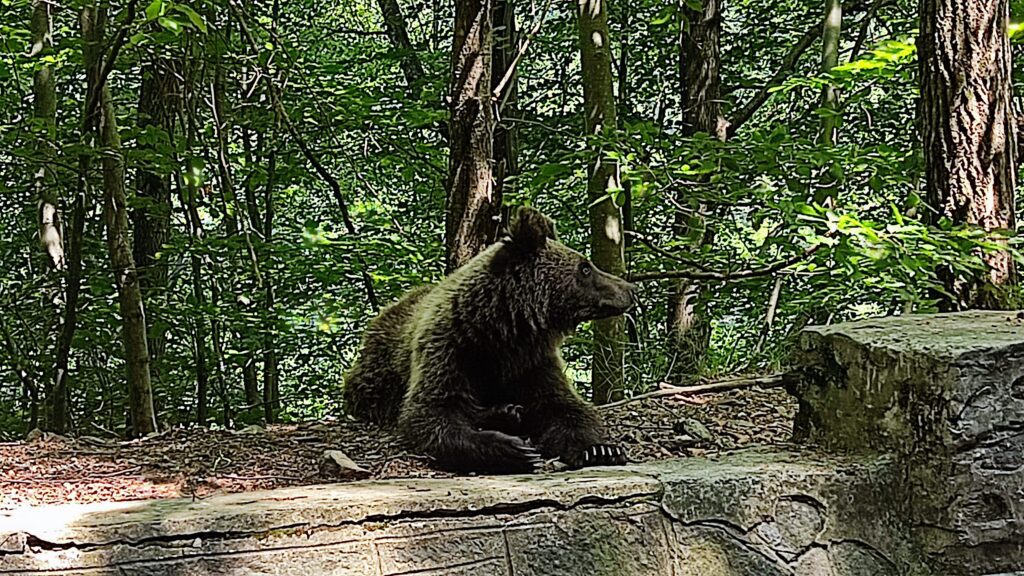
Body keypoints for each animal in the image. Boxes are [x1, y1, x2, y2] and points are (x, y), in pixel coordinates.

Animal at [344, 206, 635, 474]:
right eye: (585, 268)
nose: (630, 289)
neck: (502, 330)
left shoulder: (532, 360)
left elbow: (563, 405)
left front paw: (600, 449)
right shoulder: (451, 349)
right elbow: (431, 412)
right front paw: (513, 450)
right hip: (379, 372)